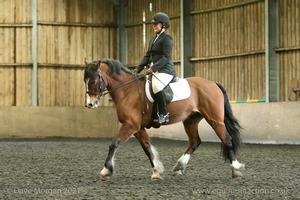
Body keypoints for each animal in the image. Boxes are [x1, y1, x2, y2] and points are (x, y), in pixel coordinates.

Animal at [83, 58, 245, 181]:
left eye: (93, 81)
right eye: (85, 80)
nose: (90, 104)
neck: (127, 90)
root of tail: (213, 83)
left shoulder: (130, 125)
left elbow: (114, 144)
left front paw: (106, 170)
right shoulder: (138, 127)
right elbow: (147, 148)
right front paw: (157, 171)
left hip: (215, 119)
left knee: (227, 139)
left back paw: (236, 169)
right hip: (191, 120)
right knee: (195, 141)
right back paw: (179, 167)